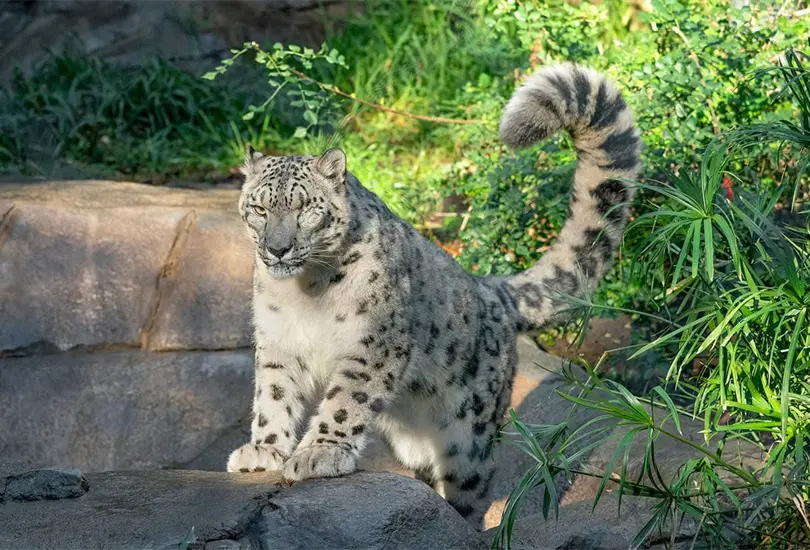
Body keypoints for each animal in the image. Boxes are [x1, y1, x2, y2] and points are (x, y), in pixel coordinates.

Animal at [226, 62, 642, 528]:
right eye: (259, 208)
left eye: (305, 210)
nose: (277, 248)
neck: (306, 291)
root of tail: (490, 288)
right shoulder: (278, 339)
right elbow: (273, 394)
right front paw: (264, 451)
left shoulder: (373, 342)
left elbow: (345, 400)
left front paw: (320, 452)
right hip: (413, 441)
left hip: (470, 433)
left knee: (472, 485)